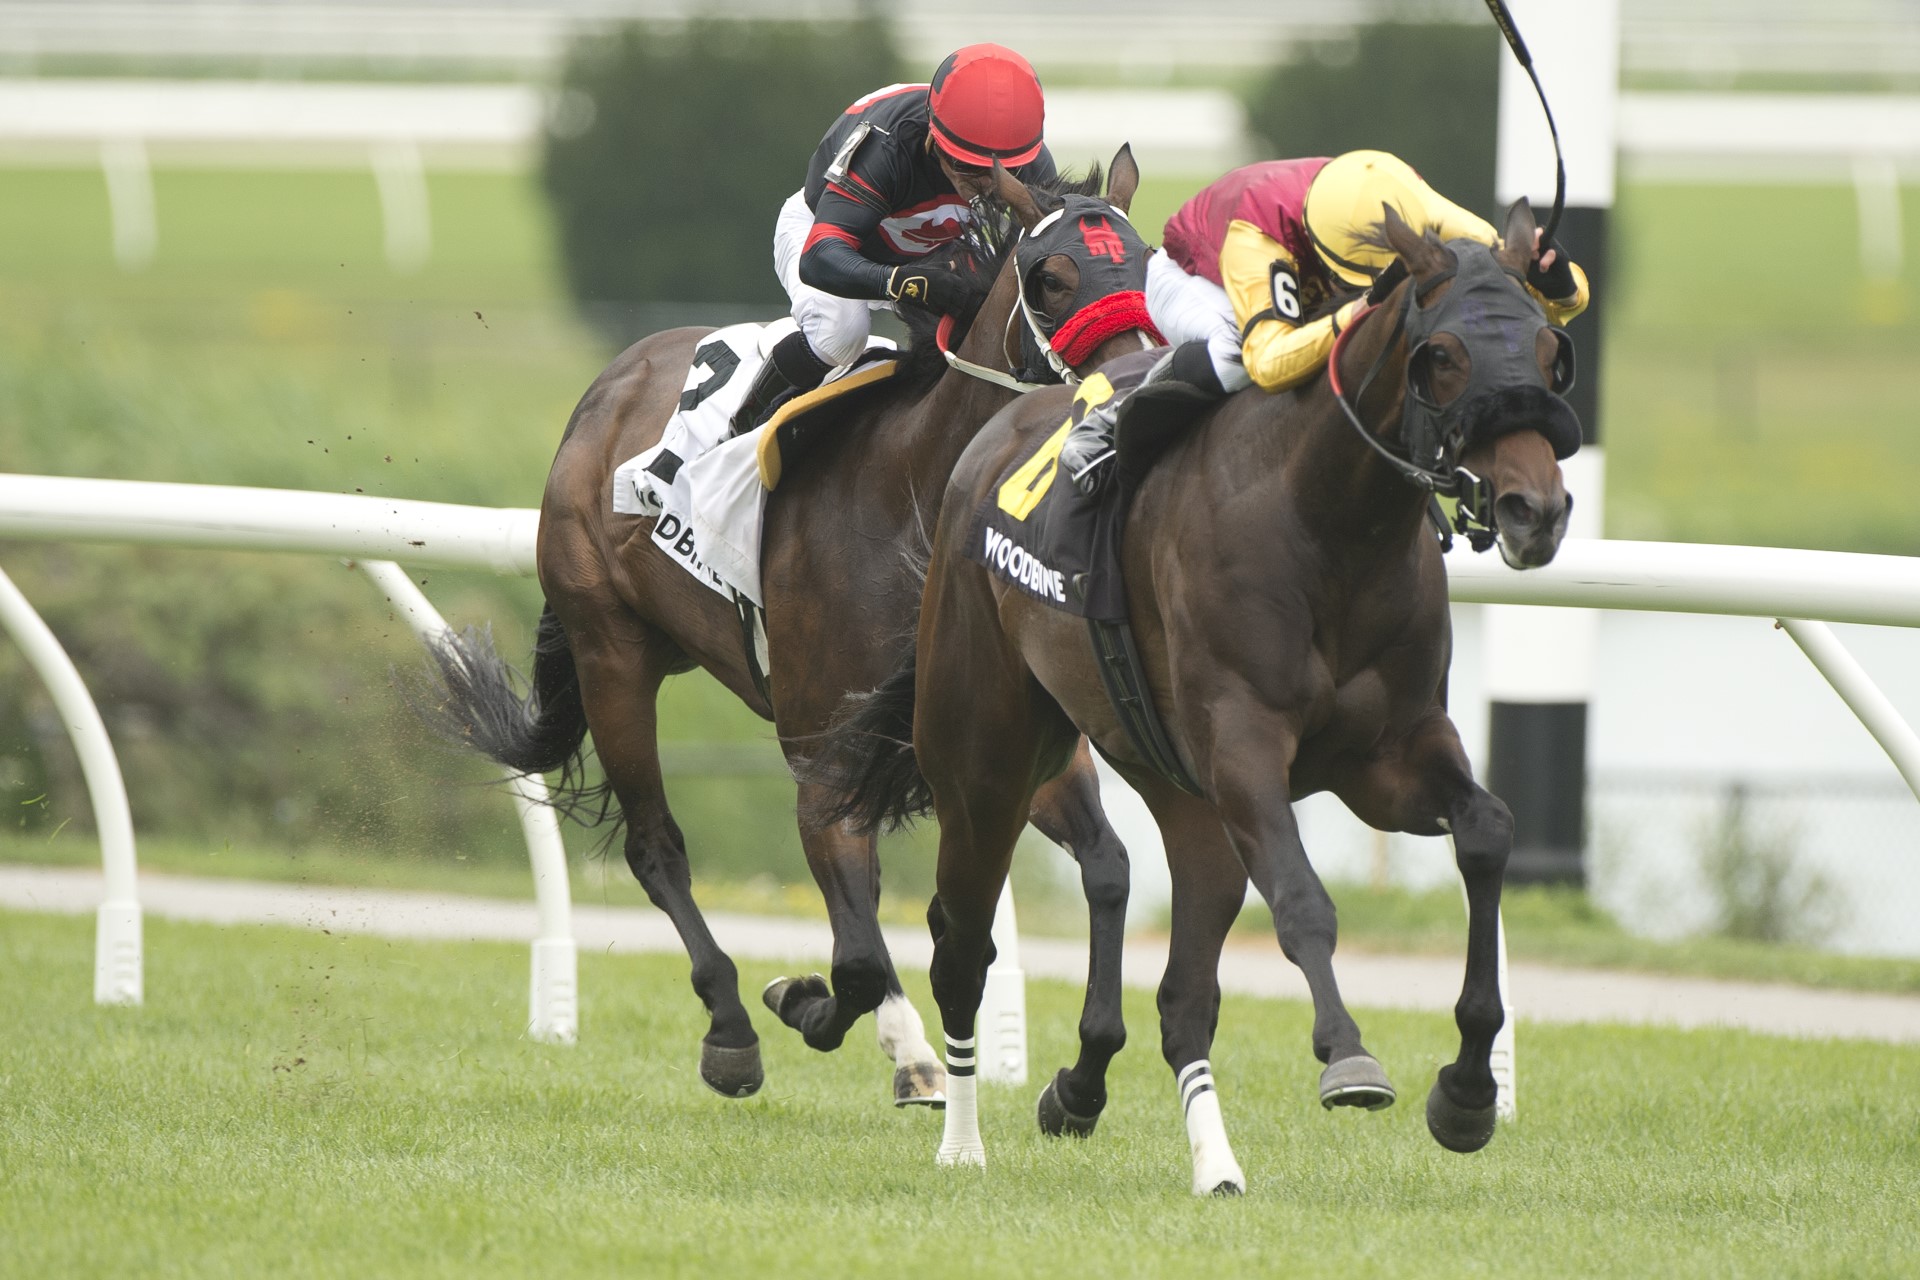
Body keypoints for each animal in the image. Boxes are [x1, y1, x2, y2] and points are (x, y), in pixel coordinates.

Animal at [422, 150, 1152, 1113]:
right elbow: (854, 960)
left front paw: (1079, 1079)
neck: (918, 500)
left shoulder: (1007, 741)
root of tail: (611, 383)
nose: (1136, 392)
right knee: (658, 849)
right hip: (610, 651)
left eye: (1148, 264)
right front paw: (799, 1005)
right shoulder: (823, 761)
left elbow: (1107, 869)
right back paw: (734, 1026)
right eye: (1051, 276)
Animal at [833, 200, 1582, 1189]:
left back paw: (1185, 1151)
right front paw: (1348, 1055)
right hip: (985, 764)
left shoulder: (1391, 757)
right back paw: (961, 1141)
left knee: (1183, 994)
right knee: (961, 945)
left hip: (1175, 790)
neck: (1329, 523)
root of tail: (987, 442)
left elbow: (1489, 832)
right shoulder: (1244, 747)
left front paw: (1465, 1093)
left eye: (1548, 350)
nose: (1538, 510)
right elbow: (1303, 901)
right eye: (1447, 354)